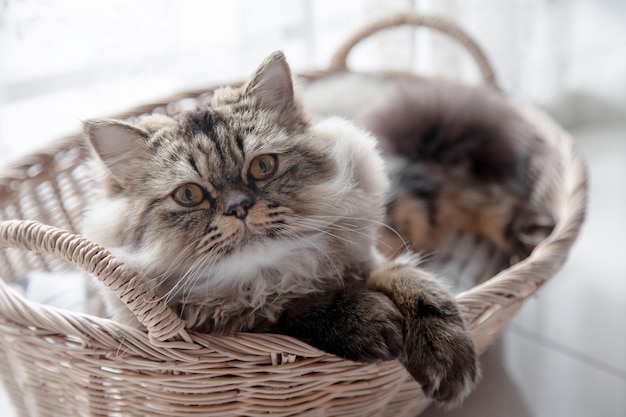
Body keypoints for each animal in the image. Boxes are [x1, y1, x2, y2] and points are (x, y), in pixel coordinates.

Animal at [84, 50, 478, 404]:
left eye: (263, 167)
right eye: (189, 195)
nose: (238, 207)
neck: (268, 279)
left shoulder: (373, 260)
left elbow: (415, 283)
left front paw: (445, 353)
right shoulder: (233, 332)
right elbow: (289, 311)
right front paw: (368, 319)